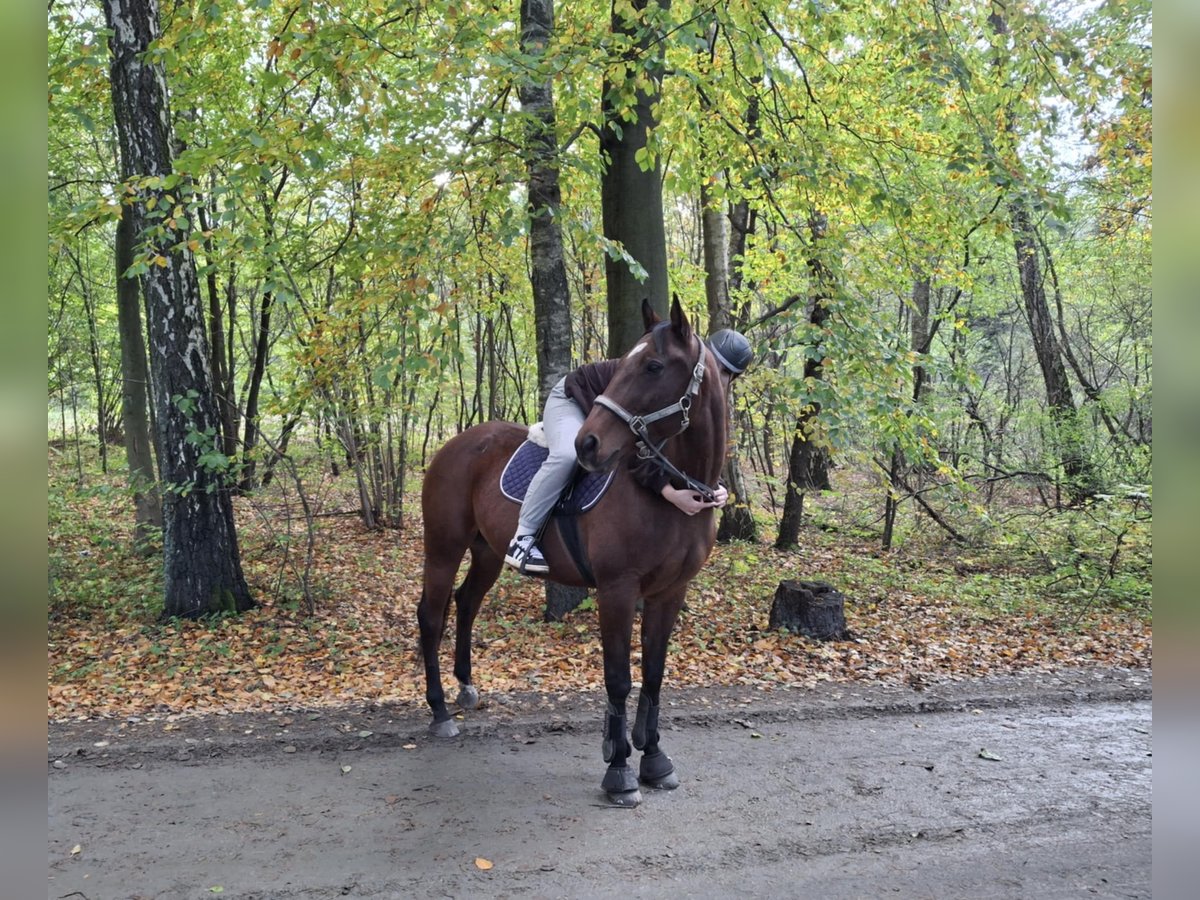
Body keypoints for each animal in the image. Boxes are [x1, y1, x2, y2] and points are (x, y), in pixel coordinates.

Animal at [417, 297, 724, 811]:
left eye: (654, 366)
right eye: (625, 364)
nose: (587, 444)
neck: (669, 494)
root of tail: (455, 444)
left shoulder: (670, 592)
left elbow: (655, 675)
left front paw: (655, 760)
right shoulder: (617, 591)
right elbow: (619, 679)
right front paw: (619, 771)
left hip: (486, 553)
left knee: (466, 604)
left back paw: (465, 687)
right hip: (442, 548)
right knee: (431, 616)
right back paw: (439, 711)